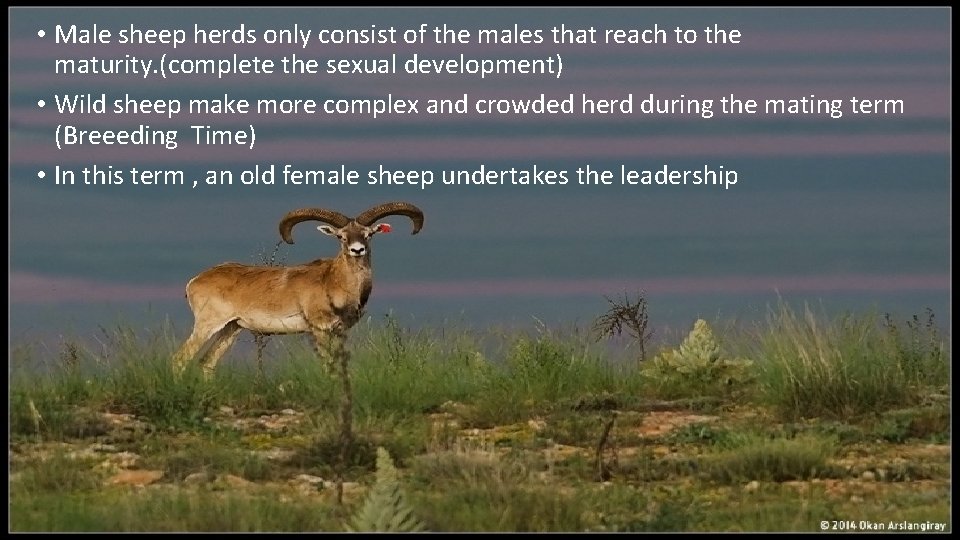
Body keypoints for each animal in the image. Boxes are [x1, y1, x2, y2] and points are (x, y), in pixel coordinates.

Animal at [172, 201, 424, 378]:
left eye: (368, 234)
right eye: (341, 236)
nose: (357, 249)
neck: (334, 282)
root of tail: (194, 281)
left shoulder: (339, 332)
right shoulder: (320, 330)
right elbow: (328, 366)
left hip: (230, 329)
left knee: (207, 363)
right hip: (207, 325)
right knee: (180, 359)